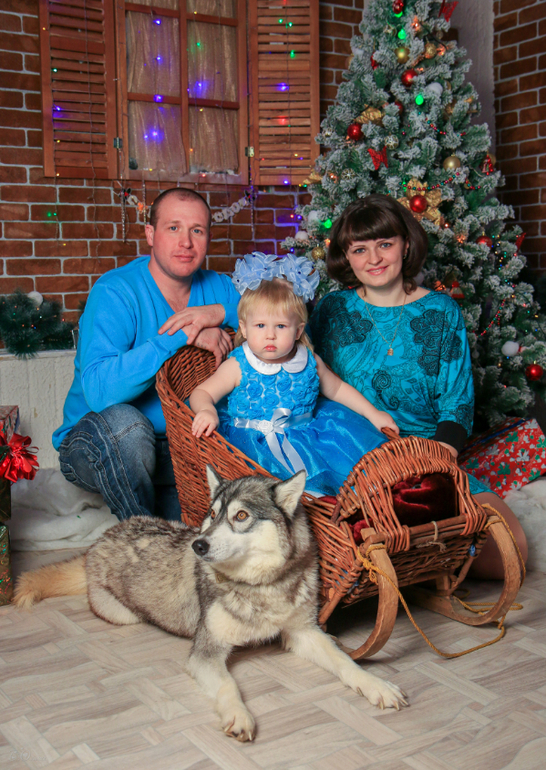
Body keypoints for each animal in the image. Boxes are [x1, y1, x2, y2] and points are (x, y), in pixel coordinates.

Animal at [13, 467, 407, 741]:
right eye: (212, 513)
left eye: (241, 516)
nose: (198, 545)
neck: (259, 587)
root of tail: (101, 539)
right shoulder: (206, 651)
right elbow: (227, 685)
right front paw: (239, 716)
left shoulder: (303, 633)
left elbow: (345, 662)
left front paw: (377, 685)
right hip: (123, 614)